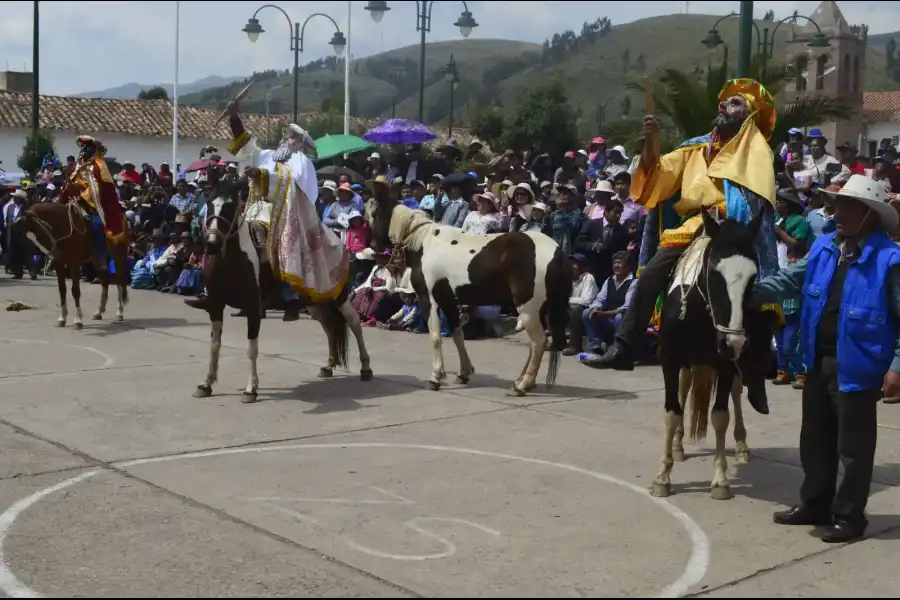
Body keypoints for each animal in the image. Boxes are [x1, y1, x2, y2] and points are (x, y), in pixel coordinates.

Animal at [186, 177, 372, 404]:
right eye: (211, 204)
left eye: (230, 207)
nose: (211, 245)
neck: (232, 261)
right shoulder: (215, 306)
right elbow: (214, 345)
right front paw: (206, 384)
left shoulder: (253, 307)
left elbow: (251, 348)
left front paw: (251, 389)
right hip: (315, 302)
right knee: (329, 327)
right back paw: (328, 365)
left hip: (339, 297)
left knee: (354, 323)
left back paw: (365, 368)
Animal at [370, 195, 568, 396]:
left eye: (376, 214)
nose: (373, 248)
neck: (425, 244)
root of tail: (558, 252)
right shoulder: (449, 302)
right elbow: (458, 335)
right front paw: (464, 372)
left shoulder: (429, 300)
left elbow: (435, 337)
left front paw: (436, 377)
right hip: (539, 310)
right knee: (535, 345)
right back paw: (523, 381)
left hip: (527, 309)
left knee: (538, 342)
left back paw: (521, 385)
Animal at [652, 211, 764, 502]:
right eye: (715, 272)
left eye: (753, 277)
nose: (733, 341)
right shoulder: (670, 360)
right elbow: (672, 412)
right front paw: (662, 477)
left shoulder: (725, 365)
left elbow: (720, 417)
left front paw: (721, 480)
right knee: (684, 388)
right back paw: (678, 445)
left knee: (736, 393)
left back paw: (742, 445)